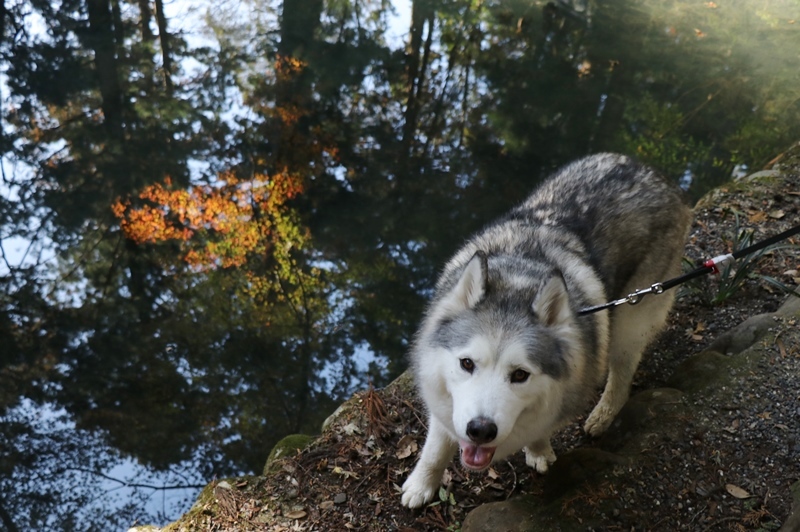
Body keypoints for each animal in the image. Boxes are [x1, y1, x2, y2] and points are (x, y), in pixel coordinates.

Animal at [400, 153, 692, 508]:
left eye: (520, 375)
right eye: (466, 364)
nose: (480, 430)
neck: (521, 277)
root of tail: (654, 173)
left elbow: (541, 430)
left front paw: (539, 451)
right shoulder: (443, 404)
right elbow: (435, 448)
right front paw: (421, 486)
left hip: (630, 319)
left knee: (622, 373)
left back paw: (603, 415)